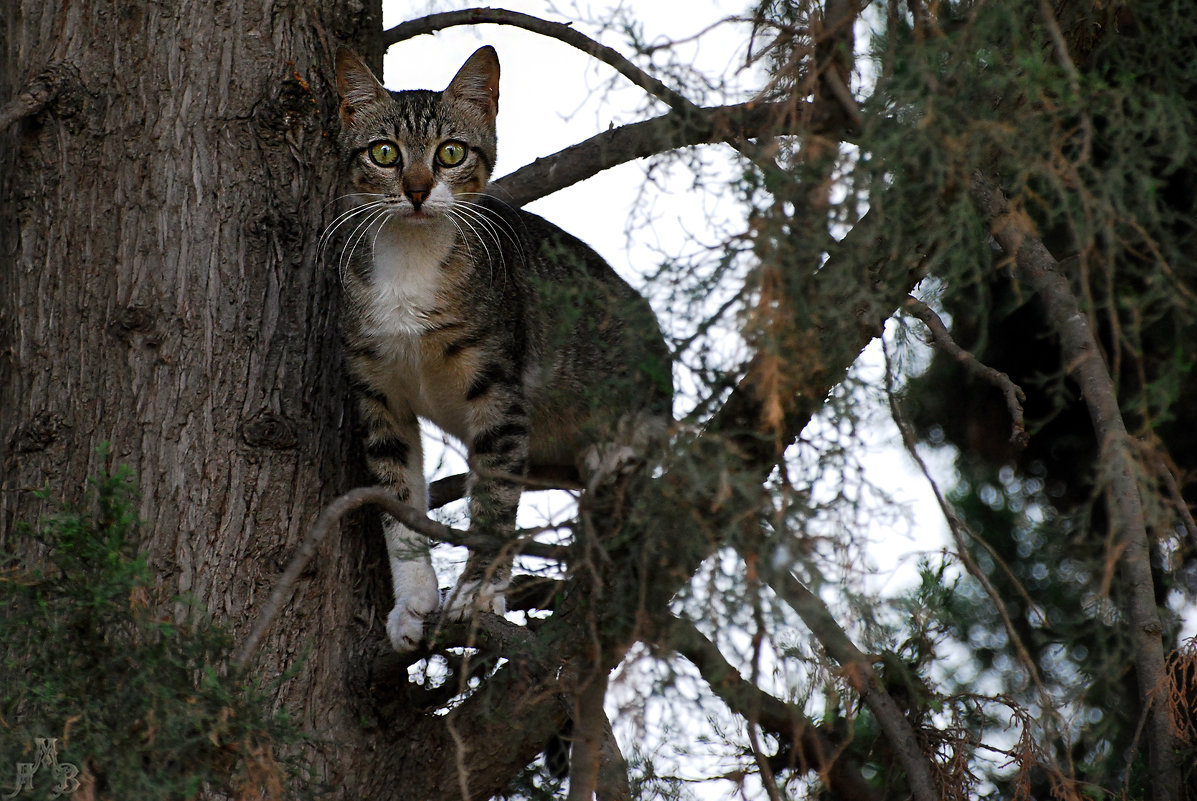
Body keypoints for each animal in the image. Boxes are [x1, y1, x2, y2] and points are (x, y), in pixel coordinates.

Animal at [332, 46, 670, 651]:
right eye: (384, 152)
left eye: (450, 151)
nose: (417, 190)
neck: (411, 259)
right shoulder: (376, 390)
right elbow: (399, 502)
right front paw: (412, 602)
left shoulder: (496, 383)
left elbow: (493, 496)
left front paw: (474, 592)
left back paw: (619, 448)